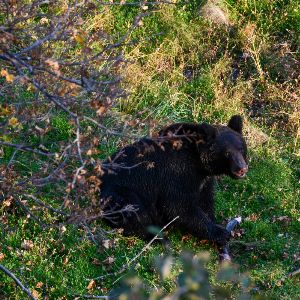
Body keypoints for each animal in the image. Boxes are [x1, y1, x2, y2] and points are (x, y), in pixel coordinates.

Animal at [101, 115, 248, 246]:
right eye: (227, 153)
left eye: (241, 148)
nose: (242, 168)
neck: (199, 163)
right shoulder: (176, 174)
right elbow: (178, 207)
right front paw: (220, 233)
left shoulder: (203, 181)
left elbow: (205, 200)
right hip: (119, 193)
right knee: (134, 210)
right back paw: (158, 237)